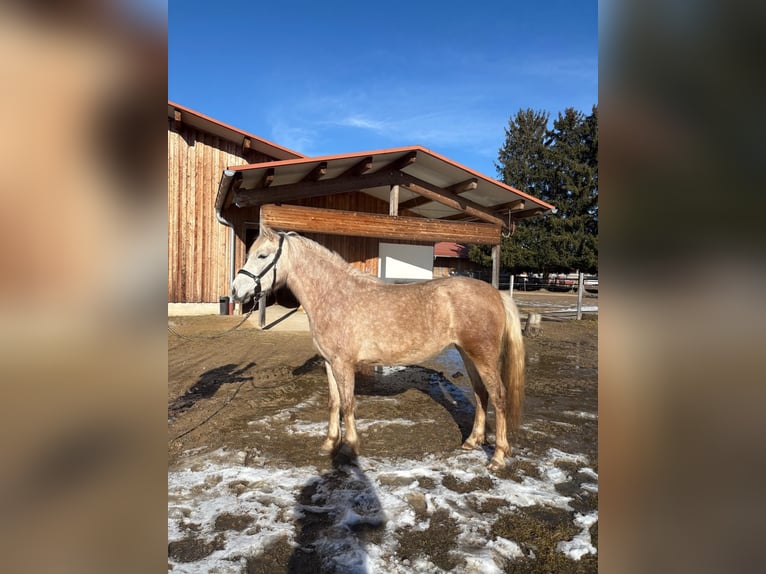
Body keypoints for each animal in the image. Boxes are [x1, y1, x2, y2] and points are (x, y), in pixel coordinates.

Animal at [231, 228, 525, 471]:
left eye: (262, 255)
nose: (235, 291)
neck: (334, 295)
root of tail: (496, 293)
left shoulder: (343, 363)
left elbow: (348, 404)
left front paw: (349, 447)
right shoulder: (330, 363)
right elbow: (334, 402)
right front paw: (329, 443)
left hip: (482, 355)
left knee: (498, 396)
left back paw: (498, 456)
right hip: (468, 354)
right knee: (480, 394)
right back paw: (473, 441)